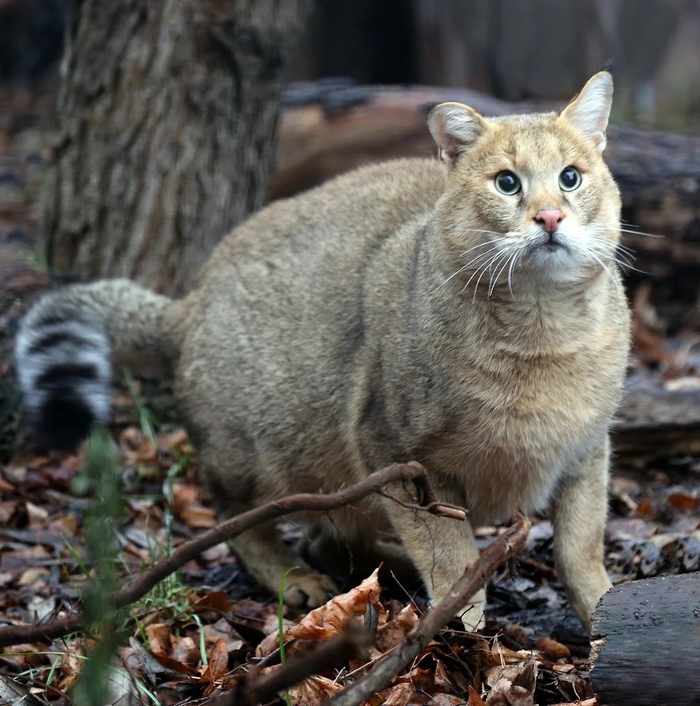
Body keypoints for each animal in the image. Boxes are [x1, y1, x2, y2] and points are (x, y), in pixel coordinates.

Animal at [15, 74, 628, 628]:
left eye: (570, 178)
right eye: (506, 183)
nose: (550, 217)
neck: (544, 330)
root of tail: (189, 304)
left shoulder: (587, 449)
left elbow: (581, 546)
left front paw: (605, 615)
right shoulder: (399, 453)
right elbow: (450, 555)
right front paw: (461, 629)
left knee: (330, 538)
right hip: (265, 457)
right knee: (238, 517)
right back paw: (296, 578)